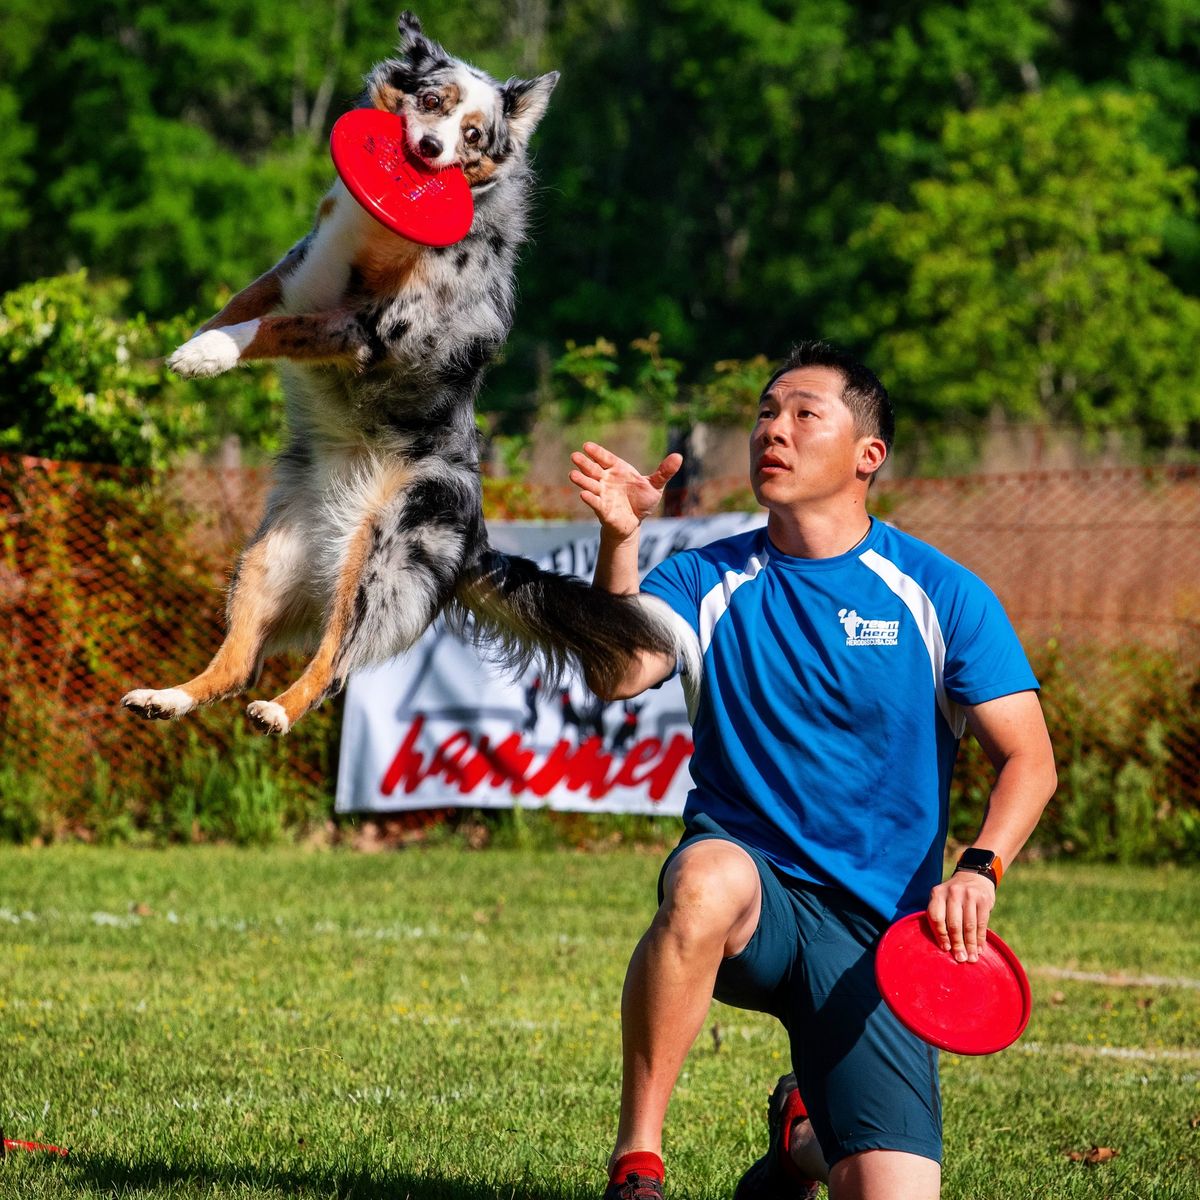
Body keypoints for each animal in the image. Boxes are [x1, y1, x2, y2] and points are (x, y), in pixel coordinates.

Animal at [127, 14, 686, 734]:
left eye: (473, 136)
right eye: (431, 101)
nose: (427, 148)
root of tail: (476, 540)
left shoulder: (371, 328)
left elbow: (275, 328)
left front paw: (211, 354)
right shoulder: (297, 266)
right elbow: (239, 306)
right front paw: (190, 348)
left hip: (381, 558)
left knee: (333, 664)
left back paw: (279, 710)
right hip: (266, 559)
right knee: (238, 663)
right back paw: (167, 697)